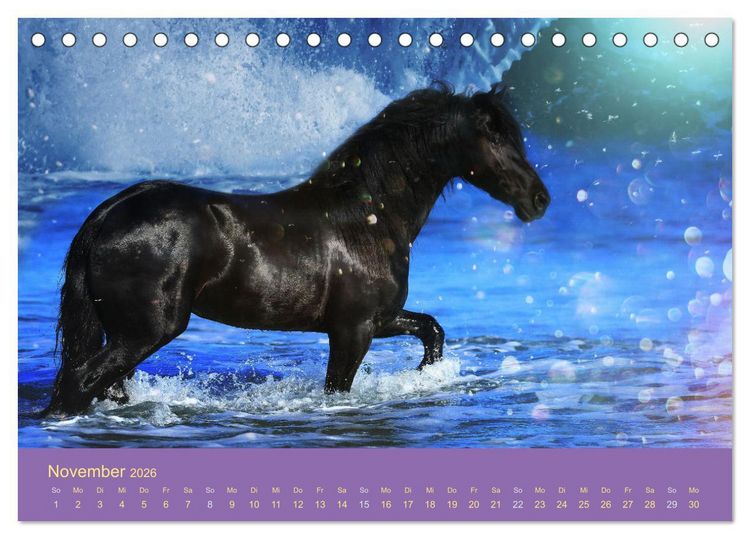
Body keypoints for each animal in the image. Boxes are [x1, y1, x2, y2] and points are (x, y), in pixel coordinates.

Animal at [44, 82, 550, 416]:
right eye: (494, 136)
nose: (539, 200)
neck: (365, 218)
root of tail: (111, 211)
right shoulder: (353, 330)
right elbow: (338, 389)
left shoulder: (380, 319)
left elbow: (432, 329)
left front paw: (426, 377)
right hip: (145, 331)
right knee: (79, 383)